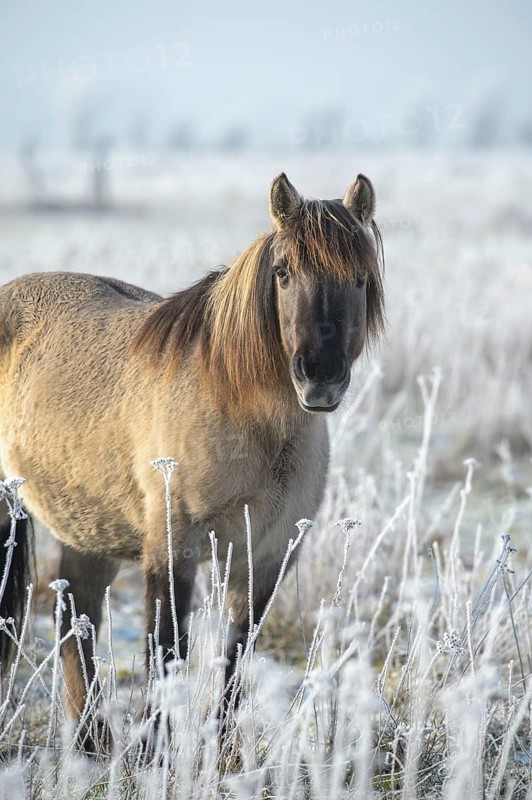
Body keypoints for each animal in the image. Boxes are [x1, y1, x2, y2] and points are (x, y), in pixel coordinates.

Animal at [0, 172, 385, 745]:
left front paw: (222, 747)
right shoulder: (172, 546)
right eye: (283, 272)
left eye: (360, 277)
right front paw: (156, 750)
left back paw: (93, 741)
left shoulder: (266, 554)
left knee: (75, 620)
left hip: (86, 530)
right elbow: (167, 650)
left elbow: (236, 653)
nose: (320, 378)